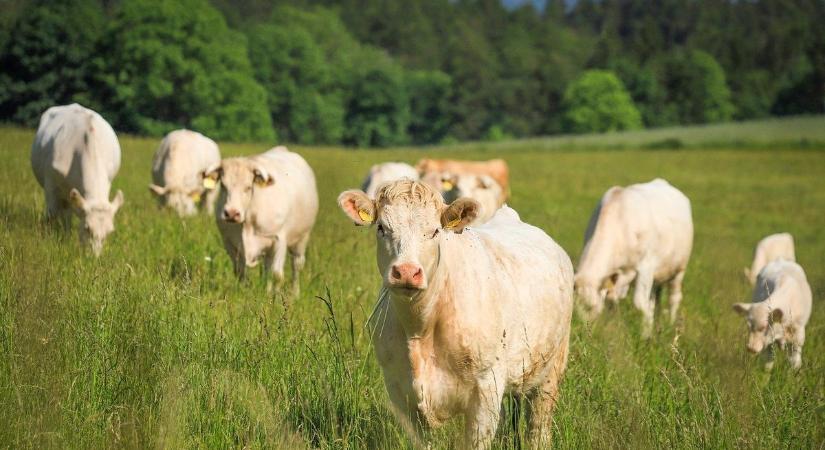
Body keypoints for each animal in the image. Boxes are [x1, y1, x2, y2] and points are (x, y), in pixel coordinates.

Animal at [205, 145, 318, 292]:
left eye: (248, 187)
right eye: (223, 186)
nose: (231, 213)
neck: (248, 221)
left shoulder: (279, 240)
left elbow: (277, 275)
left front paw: (275, 298)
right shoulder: (229, 242)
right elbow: (240, 272)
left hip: (301, 239)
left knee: (296, 266)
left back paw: (295, 293)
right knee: (267, 268)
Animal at [334, 180, 572, 450]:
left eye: (435, 231)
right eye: (382, 228)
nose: (406, 271)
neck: (420, 328)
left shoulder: (486, 387)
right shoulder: (399, 389)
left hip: (551, 371)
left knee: (538, 426)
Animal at [568, 178, 692, 338]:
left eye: (591, 306)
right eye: (574, 311)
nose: (586, 333)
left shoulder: (646, 267)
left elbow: (639, 303)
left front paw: (645, 335)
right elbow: (614, 303)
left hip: (679, 269)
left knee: (674, 298)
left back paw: (670, 325)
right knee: (654, 300)